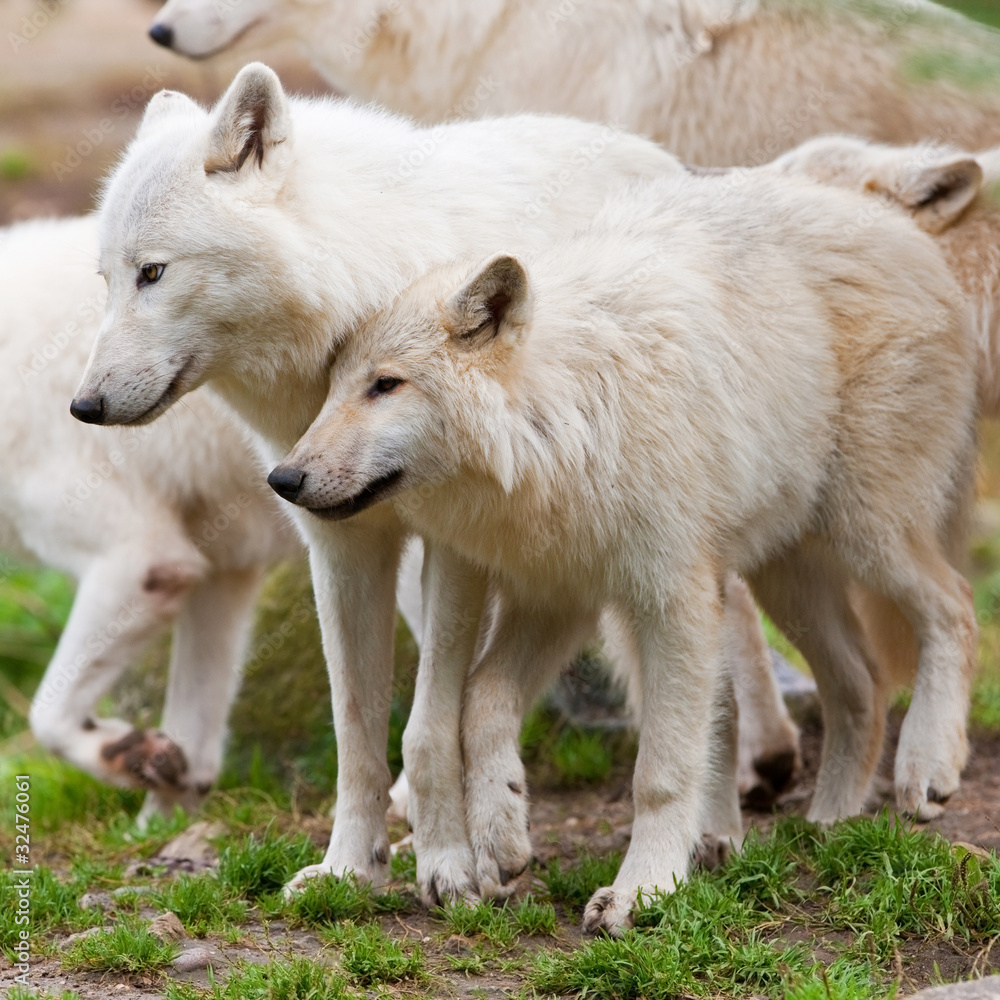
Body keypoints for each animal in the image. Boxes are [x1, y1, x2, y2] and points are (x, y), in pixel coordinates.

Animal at [0, 213, 300, 820]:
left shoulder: (140, 559)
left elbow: (47, 717)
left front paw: (125, 755)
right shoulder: (220, 568)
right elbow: (195, 737)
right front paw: (162, 817)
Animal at [74, 64, 692, 908]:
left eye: (154, 273)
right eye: (105, 280)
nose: (84, 406)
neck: (358, 290)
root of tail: (663, 158)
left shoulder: (455, 547)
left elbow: (428, 723)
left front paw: (448, 866)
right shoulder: (341, 544)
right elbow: (357, 726)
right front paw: (351, 868)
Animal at [272, 168, 976, 932]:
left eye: (386, 384)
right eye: (334, 388)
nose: (283, 479)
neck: (567, 427)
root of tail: (899, 224)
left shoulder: (672, 600)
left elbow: (660, 772)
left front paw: (644, 891)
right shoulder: (558, 596)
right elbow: (483, 703)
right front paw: (502, 839)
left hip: (867, 535)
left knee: (956, 608)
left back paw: (926, 771)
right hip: (788, 579)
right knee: (863, 683)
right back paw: (832, 826)